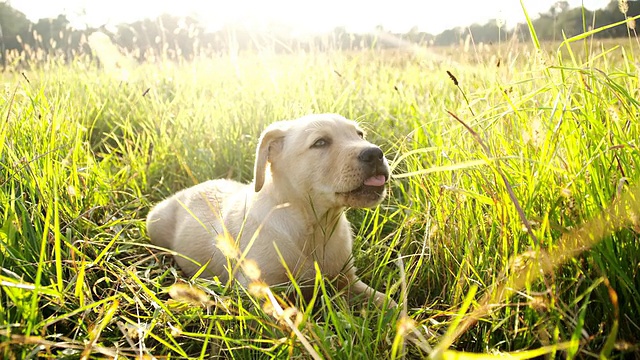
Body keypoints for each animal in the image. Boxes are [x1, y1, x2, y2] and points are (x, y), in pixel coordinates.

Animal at [146, 113, 396, 306]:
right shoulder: (261, 292)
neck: (314, 225)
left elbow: (387, 303)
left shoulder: (347, 280)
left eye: (359, 135)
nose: (375, 153)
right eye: (320, 143)